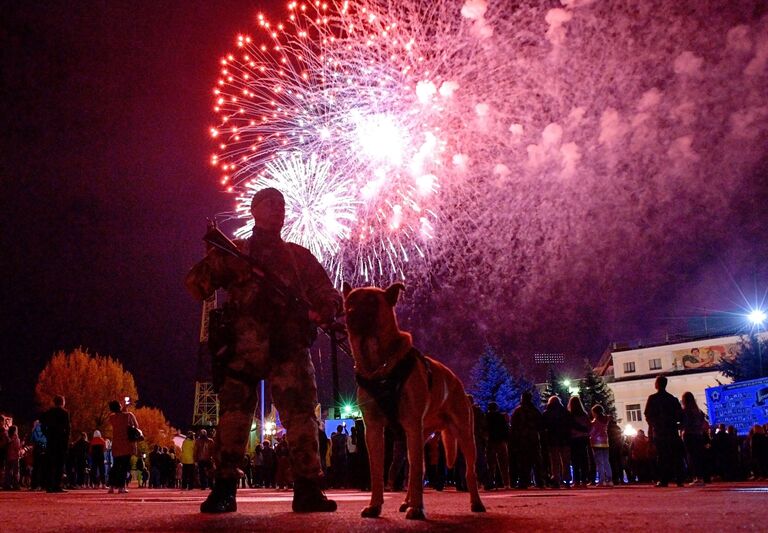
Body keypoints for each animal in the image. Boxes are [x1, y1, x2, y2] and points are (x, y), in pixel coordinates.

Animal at [344, 282, 486, 520]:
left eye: (372, 300)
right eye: (351, 300)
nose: (350, 314)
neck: (379, 365)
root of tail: (457, 381)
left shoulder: (411, 424)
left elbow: (418, 471)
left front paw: (418, 508)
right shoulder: (373, 430)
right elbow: (377, 472)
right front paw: (375, 505)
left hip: (464, 435)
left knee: (468, 471)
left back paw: (476, 502)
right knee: (414, 470)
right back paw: (407, 501)